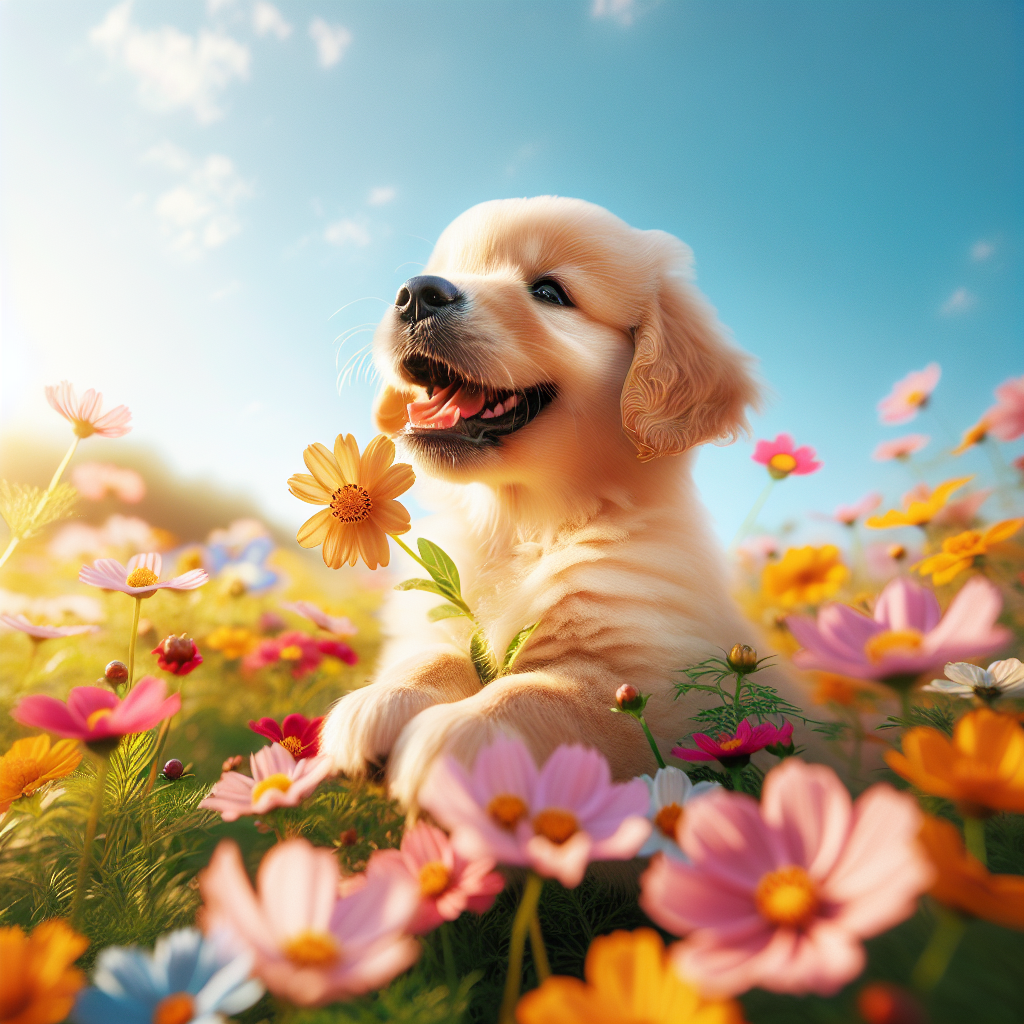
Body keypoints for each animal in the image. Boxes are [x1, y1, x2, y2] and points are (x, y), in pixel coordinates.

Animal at [323, 195, 811, 802]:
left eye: (550, 293)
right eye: (444, 270)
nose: (417, 292)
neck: (522, 524)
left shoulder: (656, 689)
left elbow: (544, 693)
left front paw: (455, 733)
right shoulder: (436, 614)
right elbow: (435, 653)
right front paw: (383, 699)